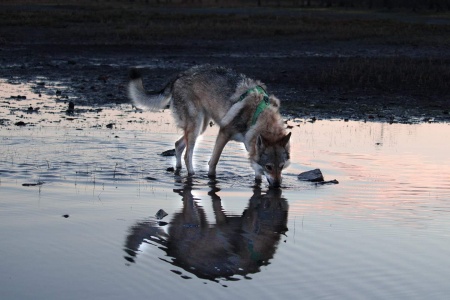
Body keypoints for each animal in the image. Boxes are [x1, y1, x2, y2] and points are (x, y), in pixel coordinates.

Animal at [127, 65, 292, 188]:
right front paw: (211, 181)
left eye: (282, 166)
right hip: (196, 126)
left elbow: (256, 171)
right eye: (269, 167)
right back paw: (192, 176)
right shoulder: (224, 133)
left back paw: (178, 169)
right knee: (187, 155)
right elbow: (213, 163)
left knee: (178, 145)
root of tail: (179, 75)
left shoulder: (251, 146)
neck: (257, 115)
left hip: (200, 127)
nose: (278, 186)